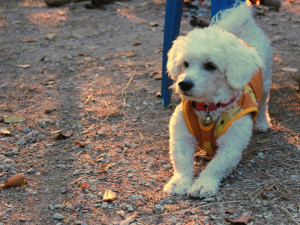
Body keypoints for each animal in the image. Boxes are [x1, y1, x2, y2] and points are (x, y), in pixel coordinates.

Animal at [164, 2, 272, 198]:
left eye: (210, 66)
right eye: (185, 63)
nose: (184, 84)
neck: (209, 108)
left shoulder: (231, 148)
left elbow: (215, 166)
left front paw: (203, 183)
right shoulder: (180, 137)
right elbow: (181, 161)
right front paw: (179, 182)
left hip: (267, 82)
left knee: (263, 105)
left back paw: (262, 123)